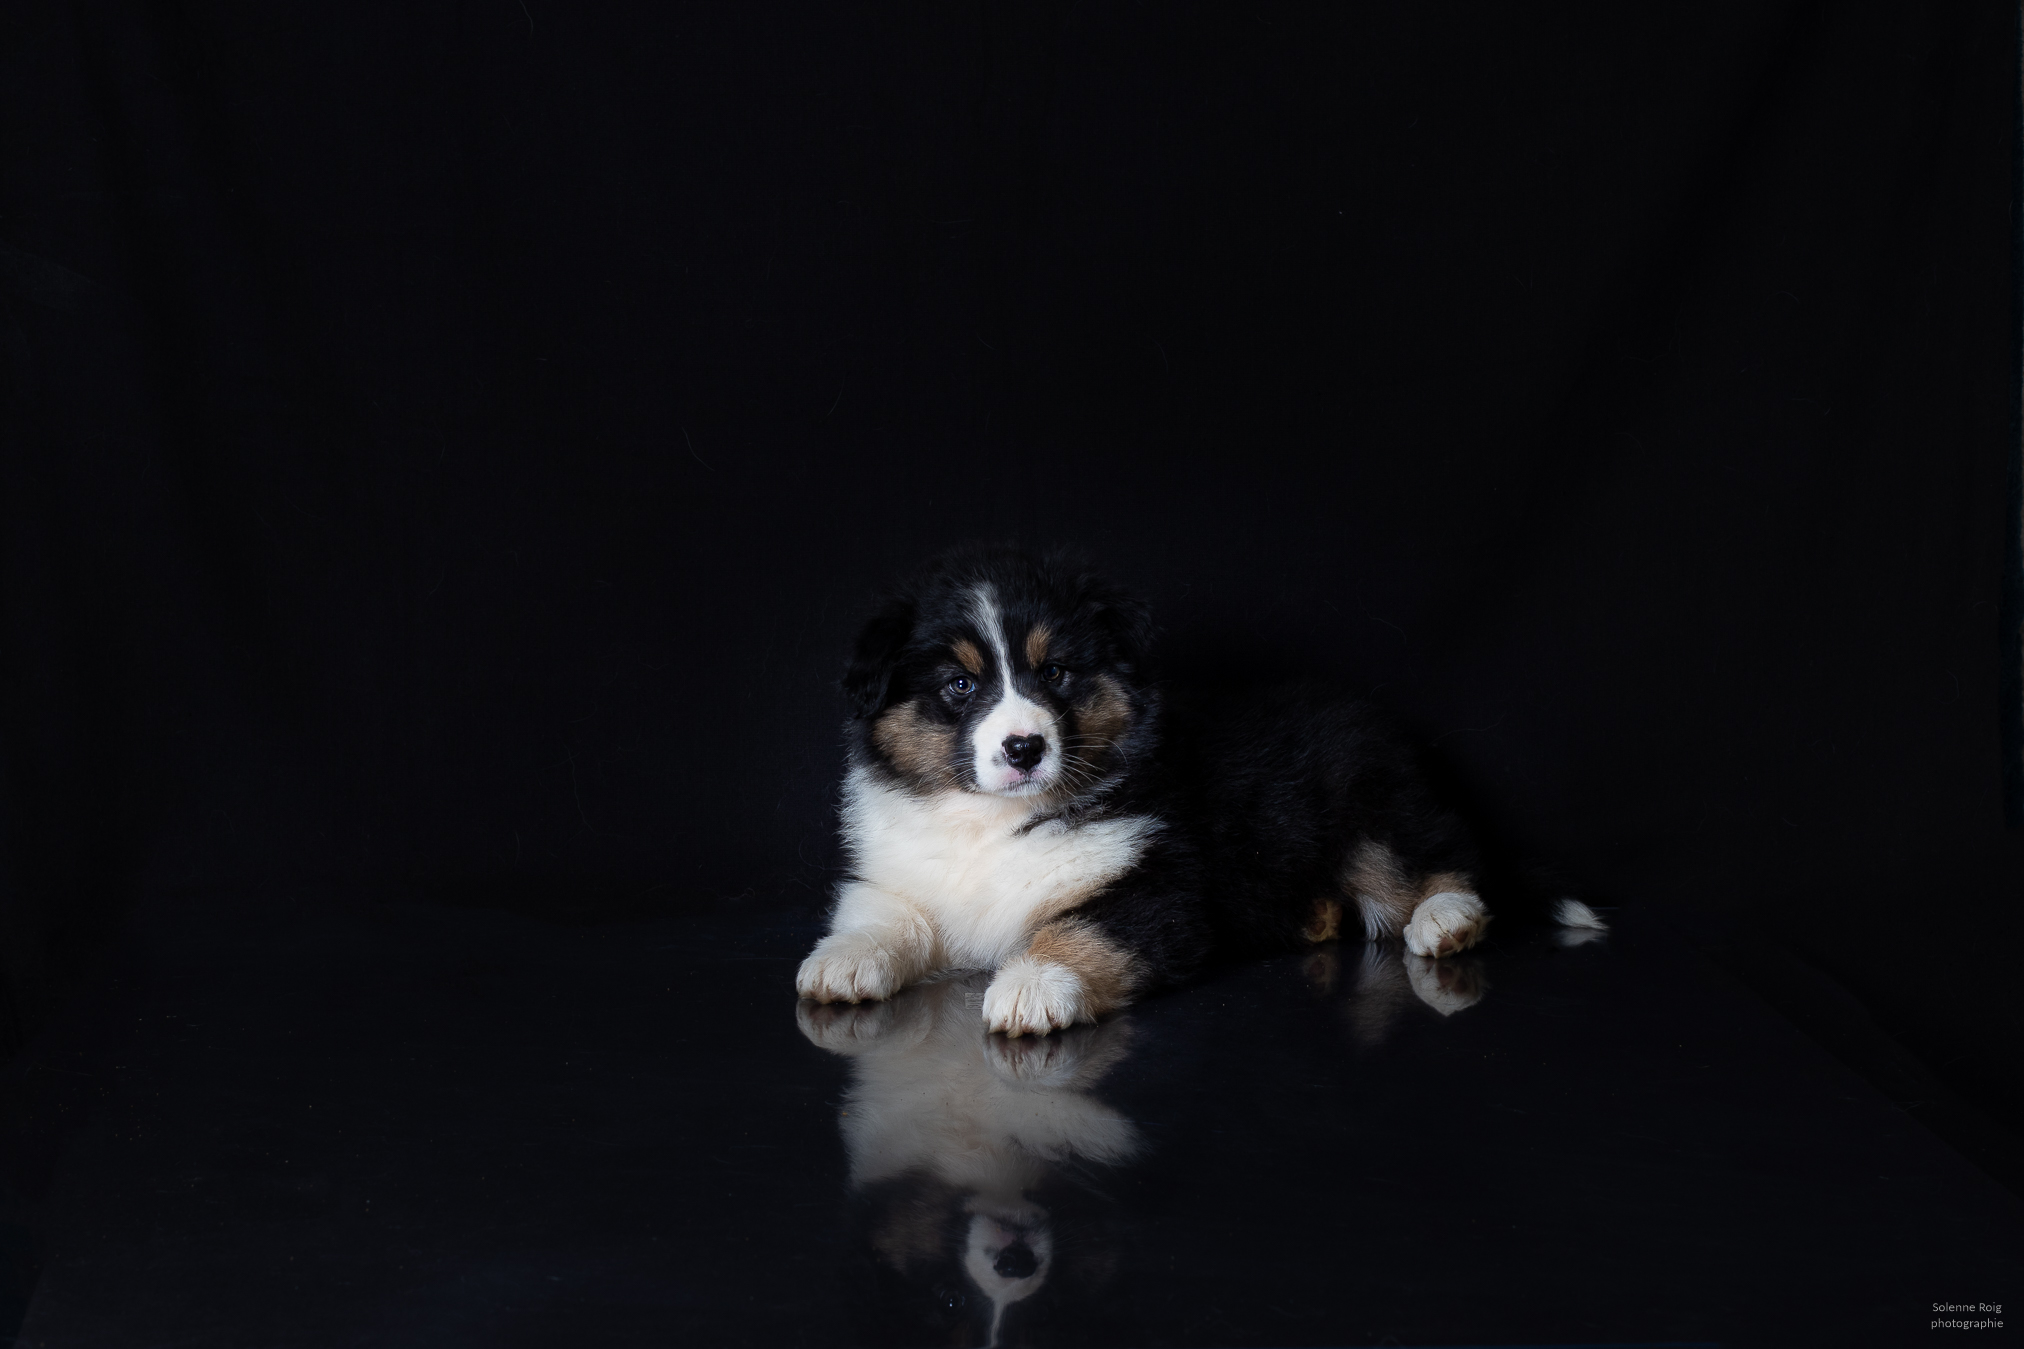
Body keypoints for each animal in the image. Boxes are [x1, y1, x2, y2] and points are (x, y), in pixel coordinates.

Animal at [795, 546, 1603, 1036]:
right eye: (959, 686)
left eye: (1056, 672)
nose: (1025, 747)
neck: (994, 820)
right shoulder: (905, 873)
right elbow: (885, 912)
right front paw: (842, 961)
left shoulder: (1158, 884)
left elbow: (1082, 926)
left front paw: (1033, 985)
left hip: (1369, 795)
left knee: (1434, 857)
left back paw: (1446, 919)